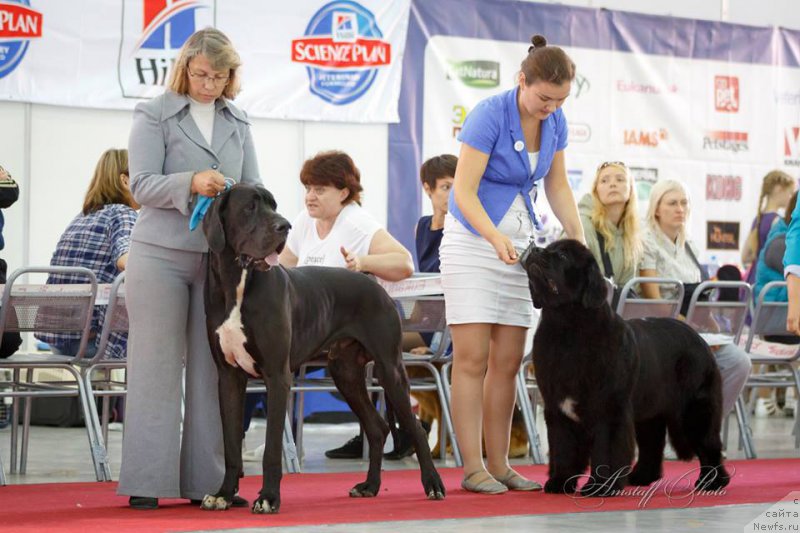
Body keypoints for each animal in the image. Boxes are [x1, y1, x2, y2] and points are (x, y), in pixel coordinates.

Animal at [520, 238, 728, 494]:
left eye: (561, 256)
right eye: (548, 248)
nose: (535, 249)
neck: (566, 329)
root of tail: (699, 338)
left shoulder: (609, 407)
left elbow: (606, 449)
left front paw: (600, 486)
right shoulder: (558, 409)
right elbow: (563, 447)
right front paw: (559, 482)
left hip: (694, 408)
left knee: (708, 444)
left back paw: (712, 482)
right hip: (650, 411)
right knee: (651, 444)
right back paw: (640, 477)